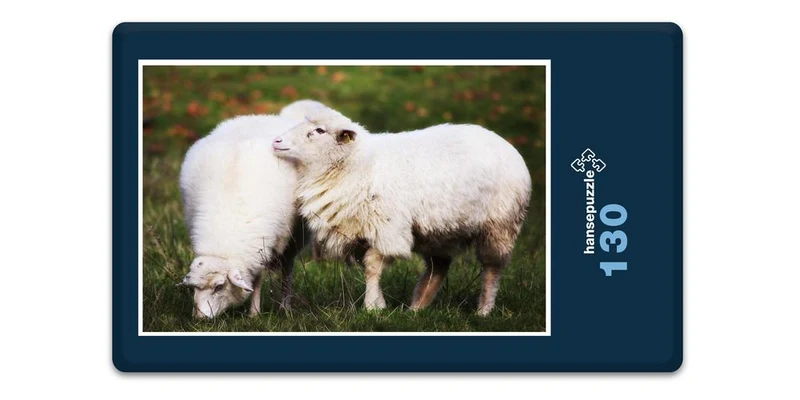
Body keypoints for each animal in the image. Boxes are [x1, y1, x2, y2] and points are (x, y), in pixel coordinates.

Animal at [178, 100, 325, 319]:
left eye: (219, 286)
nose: (200, 318)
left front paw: (254, 314)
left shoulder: (265, 245)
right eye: (194, 288)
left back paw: (285, 306)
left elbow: (257, 281)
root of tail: (263, 117)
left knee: (287, 268)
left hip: (294, 236)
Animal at [271, 107, 532, 316]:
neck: (357, 165)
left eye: (319, 130)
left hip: (500, 225)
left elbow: (372, 267)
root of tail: (503, 142)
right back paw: (417, 308)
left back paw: (483, 311)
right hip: (440, 231)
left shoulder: (387, 227)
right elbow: (370, 266)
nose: (277, 141)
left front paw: (372, 306)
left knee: (491, 269)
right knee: (438, 267)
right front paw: (378, 304)